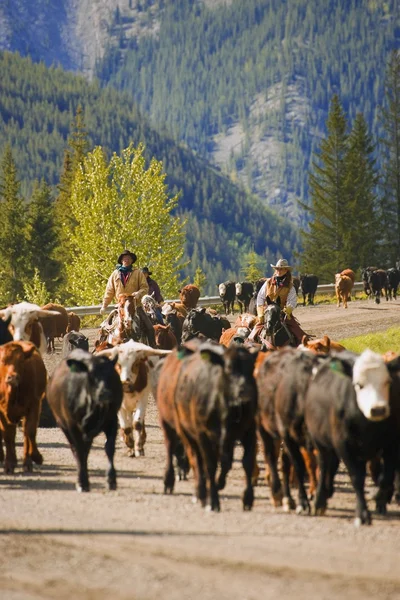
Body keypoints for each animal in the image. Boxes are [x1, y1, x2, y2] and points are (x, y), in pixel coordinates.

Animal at [0, 342, 46, 474]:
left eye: (21, 361)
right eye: (2, 361)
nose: (12, 377)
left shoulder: (34, 406)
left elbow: (30, 432)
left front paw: (36, 457)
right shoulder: (3, 411)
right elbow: (8, 435)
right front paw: (9, 464)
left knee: (26, 434)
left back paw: (27, 463)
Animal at [46, 346, 122, 492]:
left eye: (112, 375)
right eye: (92, 376)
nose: (105, 394)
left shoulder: (112, 421)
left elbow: (109, 448)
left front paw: (111, 480)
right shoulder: (72, 425)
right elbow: (79, 449)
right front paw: (82, 481)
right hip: (63, 425)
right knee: (76, 449)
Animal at [156, 342, 256, 510]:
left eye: (252, 367)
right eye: (229, 367)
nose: (246, 390)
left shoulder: (247, 432)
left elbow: (245, 462)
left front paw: (247, 498)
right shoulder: (203, 434)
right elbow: (210, 464)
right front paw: (213, 500)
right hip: (172, 424)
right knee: (176, 449)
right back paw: (175, 483)